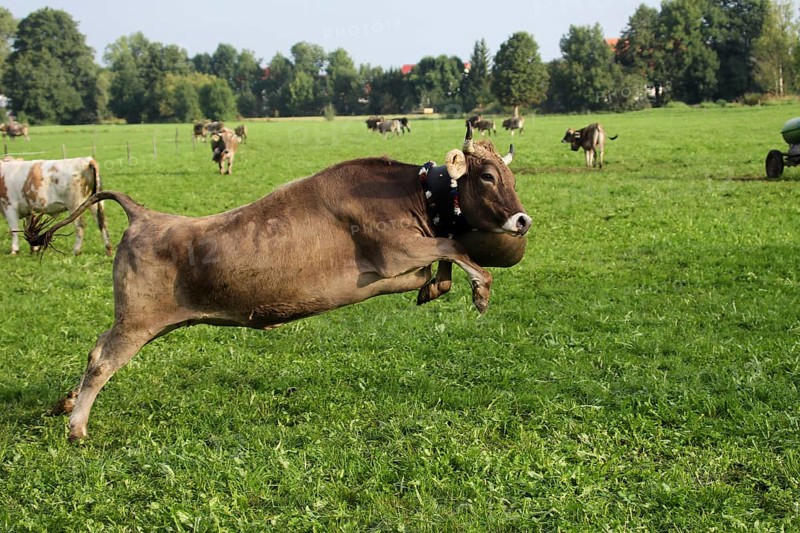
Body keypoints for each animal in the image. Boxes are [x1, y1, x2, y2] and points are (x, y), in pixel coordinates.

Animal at [25, 124, 531, 441]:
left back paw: (65, 403)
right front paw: (481, 290)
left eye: (510, 175)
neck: (415, 193)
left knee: (95, 349)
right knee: (101, 362)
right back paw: (77, 427)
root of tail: (143, 214)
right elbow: (454, 248)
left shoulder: (399, 269)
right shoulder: (393, 252)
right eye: (488, 176)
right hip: (136, 320)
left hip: (142, 319)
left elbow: (442, 262)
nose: (523, 220)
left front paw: (439, 288)